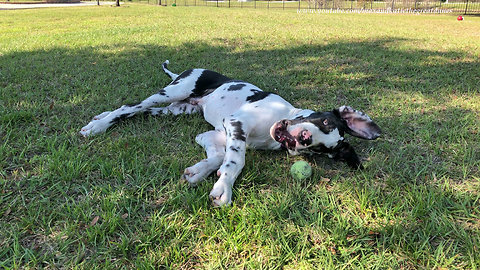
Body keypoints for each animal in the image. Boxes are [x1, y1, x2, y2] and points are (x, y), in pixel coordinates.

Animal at [82, 60, 382, 206]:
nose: (303, 140)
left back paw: (99, 118)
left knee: (136, 111)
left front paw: (199, 172)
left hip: (175, 109)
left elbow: (219, 156)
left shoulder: (217, 133)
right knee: (130, 106)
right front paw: (223, 187)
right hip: (171, 92)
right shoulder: (237, 123)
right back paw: (97, 126)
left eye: (320, 151)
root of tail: (185, 70)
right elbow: (236, 161)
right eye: (326, 122)